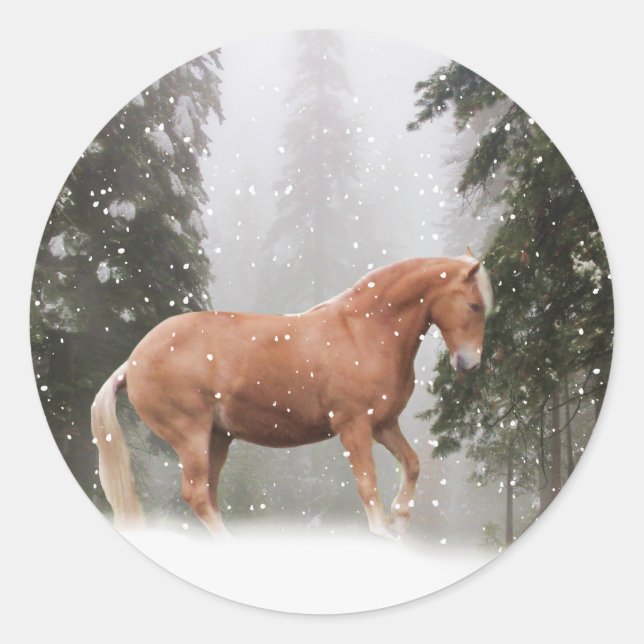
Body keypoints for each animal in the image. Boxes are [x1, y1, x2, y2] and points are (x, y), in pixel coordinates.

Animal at [91, 249, 493, 539]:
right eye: (474, 305)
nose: (470, 363)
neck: (364, 330)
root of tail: (132, 361)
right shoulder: (354, 427)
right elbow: (367, 485)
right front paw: (382, 531)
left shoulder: (383, 425)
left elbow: (412, 464)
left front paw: (399, 521)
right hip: (191, 435)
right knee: (196, 495)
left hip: (217, 438)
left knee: (207, 494)